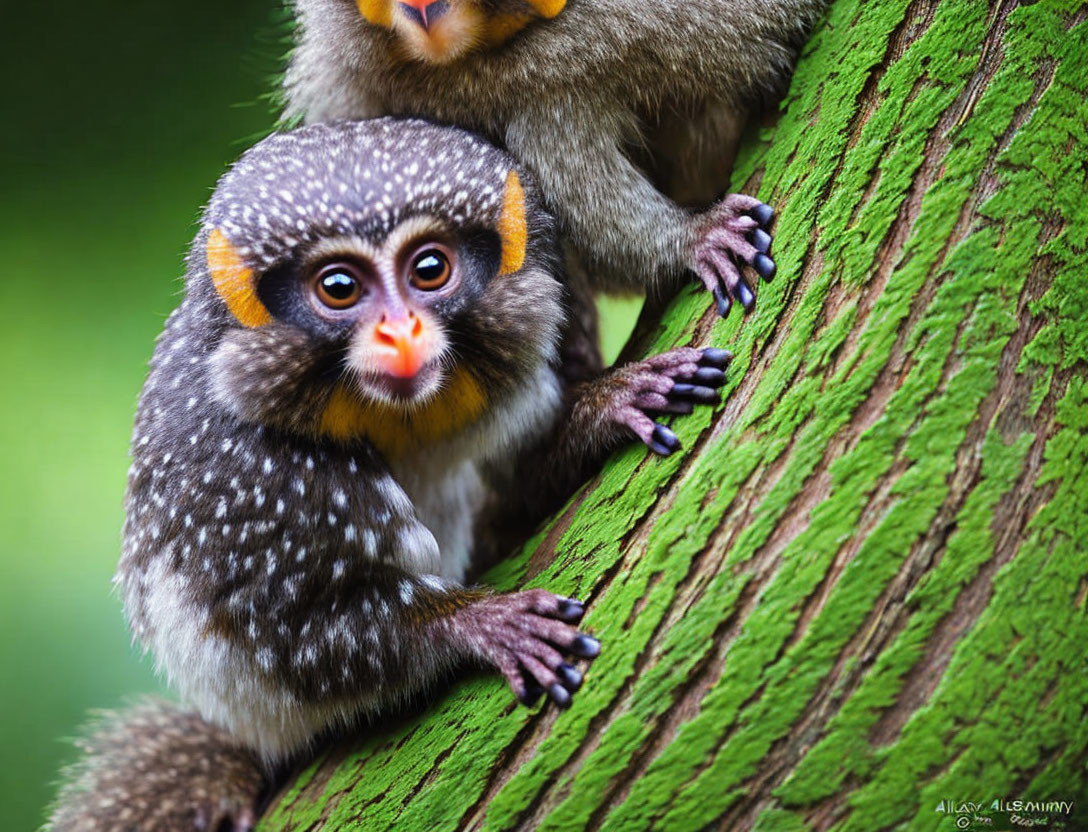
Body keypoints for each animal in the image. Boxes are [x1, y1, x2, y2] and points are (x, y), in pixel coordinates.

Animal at [46, 115, 735, 830]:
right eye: (339, 288)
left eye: (429, 269)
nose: (399, 332)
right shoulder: (248, 478)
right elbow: (293, 637)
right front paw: (478, 624)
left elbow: (518, 485)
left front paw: (607, 404)